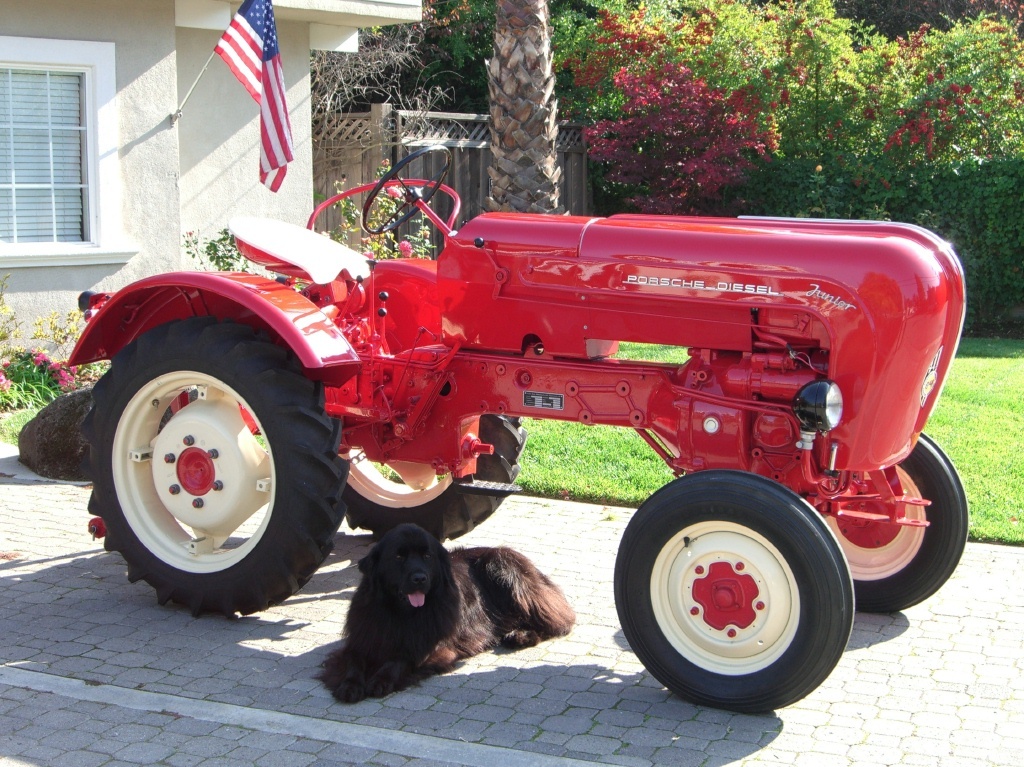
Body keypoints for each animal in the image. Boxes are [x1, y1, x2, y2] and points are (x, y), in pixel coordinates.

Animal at [319, 520, 577, 700]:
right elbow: (353, 661)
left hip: (504, 564)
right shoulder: (362, 639)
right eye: (399, 556)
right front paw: (350, 686)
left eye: (427, 555)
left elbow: (401, 658)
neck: (400, 614)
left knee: (555, 620)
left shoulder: (436, 647)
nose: (420, 578)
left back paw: (521, 635)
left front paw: (380, 680)